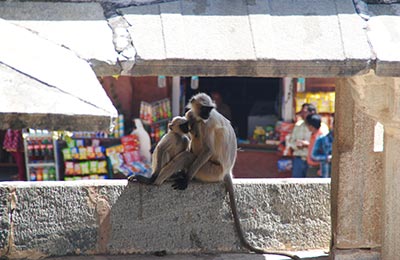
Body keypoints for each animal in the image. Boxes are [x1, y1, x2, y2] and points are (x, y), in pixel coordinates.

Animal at [156, 93, 300, 260]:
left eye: (209, 109)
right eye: (204, 108)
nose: (206, 114)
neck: (201, 116)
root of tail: (227, 171)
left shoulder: (206, 124)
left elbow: (208, 149)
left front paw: (185, 179)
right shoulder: (192, 115)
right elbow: (191, 118)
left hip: (211, 170)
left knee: (193, 144)